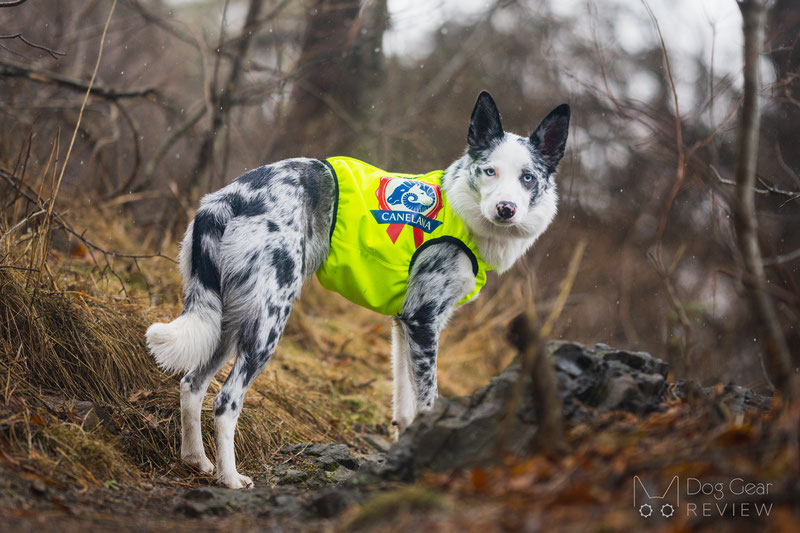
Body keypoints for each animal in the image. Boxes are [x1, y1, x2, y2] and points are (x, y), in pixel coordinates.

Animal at [144, 90, 568, 486]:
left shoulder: (404, 325)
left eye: (528, 178)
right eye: (490, 171)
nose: (506, 209)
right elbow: (427, 401)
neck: (460, 206)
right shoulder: (423, 322)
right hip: (267, 324)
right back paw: (230, 478)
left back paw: (197, 461)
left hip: (226, 323)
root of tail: (227, 198)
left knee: (191, 384)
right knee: (226, 400)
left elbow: (404, 408)